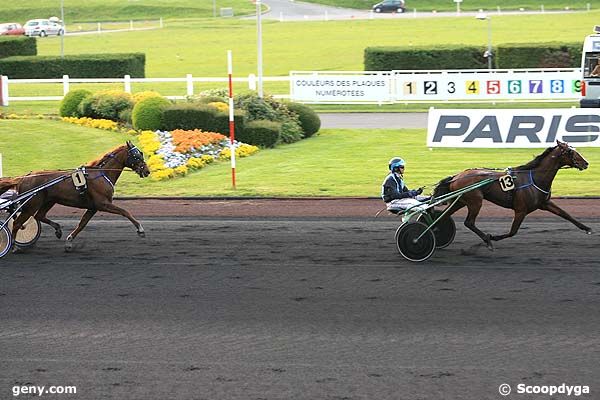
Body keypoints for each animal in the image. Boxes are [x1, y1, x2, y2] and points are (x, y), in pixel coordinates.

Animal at [6, 142, 150, 252]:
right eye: (137, 156)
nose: (147, 171)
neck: (102, 174)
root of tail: (23, 177)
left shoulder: (93, 207)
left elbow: (82, 224)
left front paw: (69, 242)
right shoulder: (103, 203)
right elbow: (125, 211)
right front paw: (140, 229)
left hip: (48, 201)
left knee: (39, 216)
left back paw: (58, 229)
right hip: (31, 205)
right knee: (18, 223)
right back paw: (13, 246)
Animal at [432, 139, 592, 248]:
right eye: (570, 151)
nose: (586, 163)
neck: (535, 178)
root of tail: (456, 176)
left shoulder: (545, 203)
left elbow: (566, 214)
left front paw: (587, 228)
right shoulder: (521, 210)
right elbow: (513, 231)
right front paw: (493, 237)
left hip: (460, 201)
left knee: (444, 216)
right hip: (475, 201)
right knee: (469, 222)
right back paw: (487, 240)